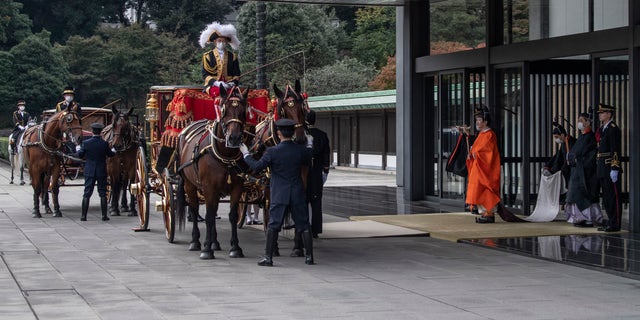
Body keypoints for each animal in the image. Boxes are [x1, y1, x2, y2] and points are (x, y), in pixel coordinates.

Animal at [179, 85, 251, 260]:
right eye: (224, 110)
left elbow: (232, 215)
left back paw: (214, 242)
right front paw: (206, 249)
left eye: (243, 111)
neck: (226, 156)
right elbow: (209, 216)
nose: (234, 138)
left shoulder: (237, 187)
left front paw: (235, 247)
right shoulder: (209, 187)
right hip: (190, 185)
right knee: (194, 209)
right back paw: (196, 242)